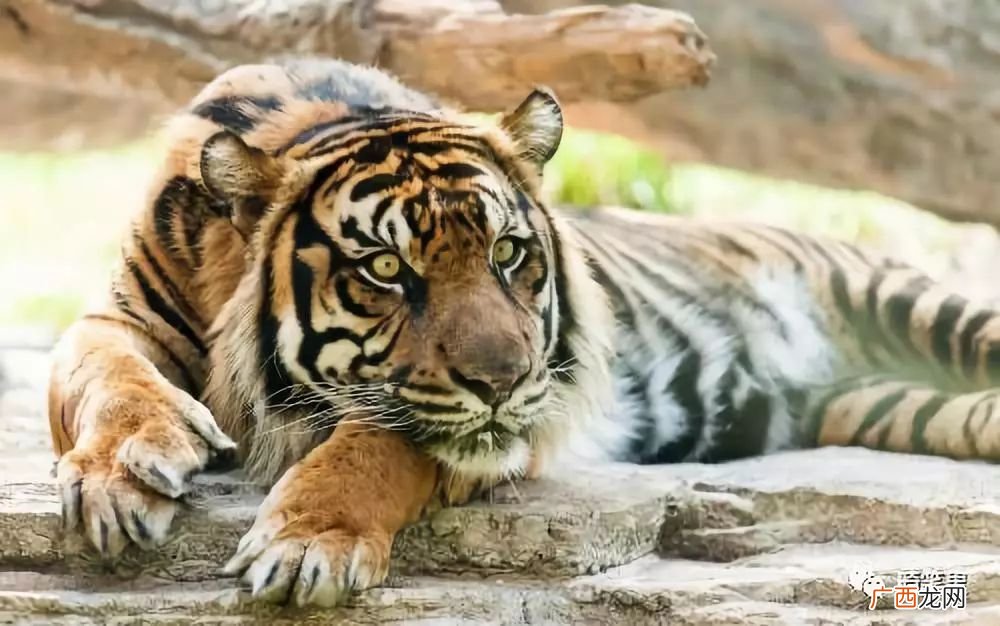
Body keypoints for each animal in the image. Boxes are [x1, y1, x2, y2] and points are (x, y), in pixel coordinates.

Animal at [47, 58, 1000, 608]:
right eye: (386, 269)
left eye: (509, 253)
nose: (503, 381)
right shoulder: (120, 315)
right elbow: (99, 371)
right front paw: (121, 473)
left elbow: (381, 441)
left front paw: (308, 543)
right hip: (888, 404)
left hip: (908, 302)